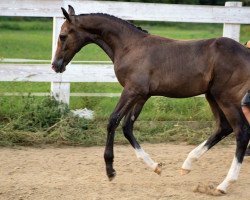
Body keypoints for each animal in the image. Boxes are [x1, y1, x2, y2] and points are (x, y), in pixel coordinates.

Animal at [52, 5, 250, 194]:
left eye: (62, 36)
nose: (55, 65)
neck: (130, 46)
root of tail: (247, 52)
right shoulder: (142, 95)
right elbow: (127, 127)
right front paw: (155, 166)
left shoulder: (131, 90)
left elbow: (113, 121)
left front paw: (110, 171)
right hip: (212, 96)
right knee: (223, 127)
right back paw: (187, 165)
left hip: (226, 97)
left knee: (241, 131)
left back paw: (224, 184)